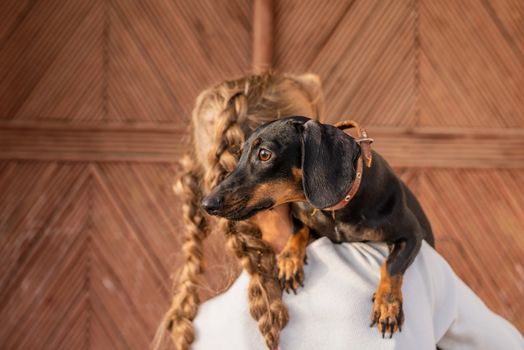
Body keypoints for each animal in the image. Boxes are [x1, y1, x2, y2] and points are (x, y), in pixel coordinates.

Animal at [201, 116, 434, 338]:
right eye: (239, 154)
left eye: (264, 154)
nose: (207, 204)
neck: (337, 210)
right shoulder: (299, 215)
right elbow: (298, 230)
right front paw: (289, 262)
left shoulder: (412, 234)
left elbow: (391, 266)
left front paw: (388, 305)